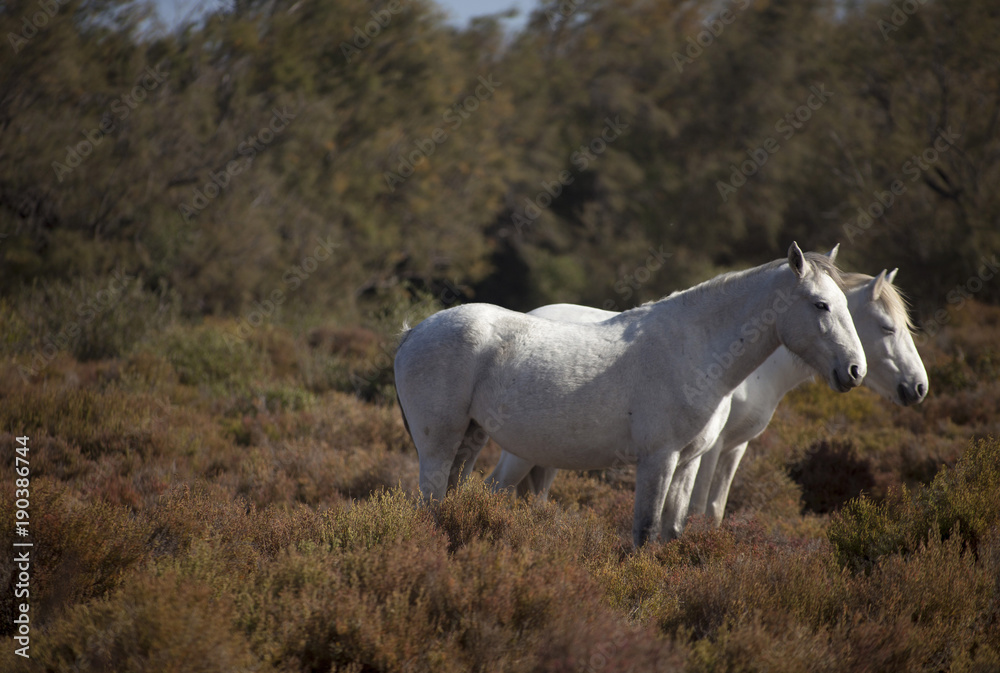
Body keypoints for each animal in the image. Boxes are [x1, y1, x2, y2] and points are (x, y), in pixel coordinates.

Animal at [394, 243, 866, 547]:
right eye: (821, 304)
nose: (854, 370)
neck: (694, 349)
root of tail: (413, 332)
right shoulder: (657, 460)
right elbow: (645, 530)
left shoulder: (688, 462)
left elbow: (672, 531)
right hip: (439, 446)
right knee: (431, 501)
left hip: (471, 439)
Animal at [490, 258, 926, 538]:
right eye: (886, 326)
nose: (918, 387)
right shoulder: (706, 449)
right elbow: (696, 511)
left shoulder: (734, 447)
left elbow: (712, 510)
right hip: (521, 450)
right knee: (495, 487)